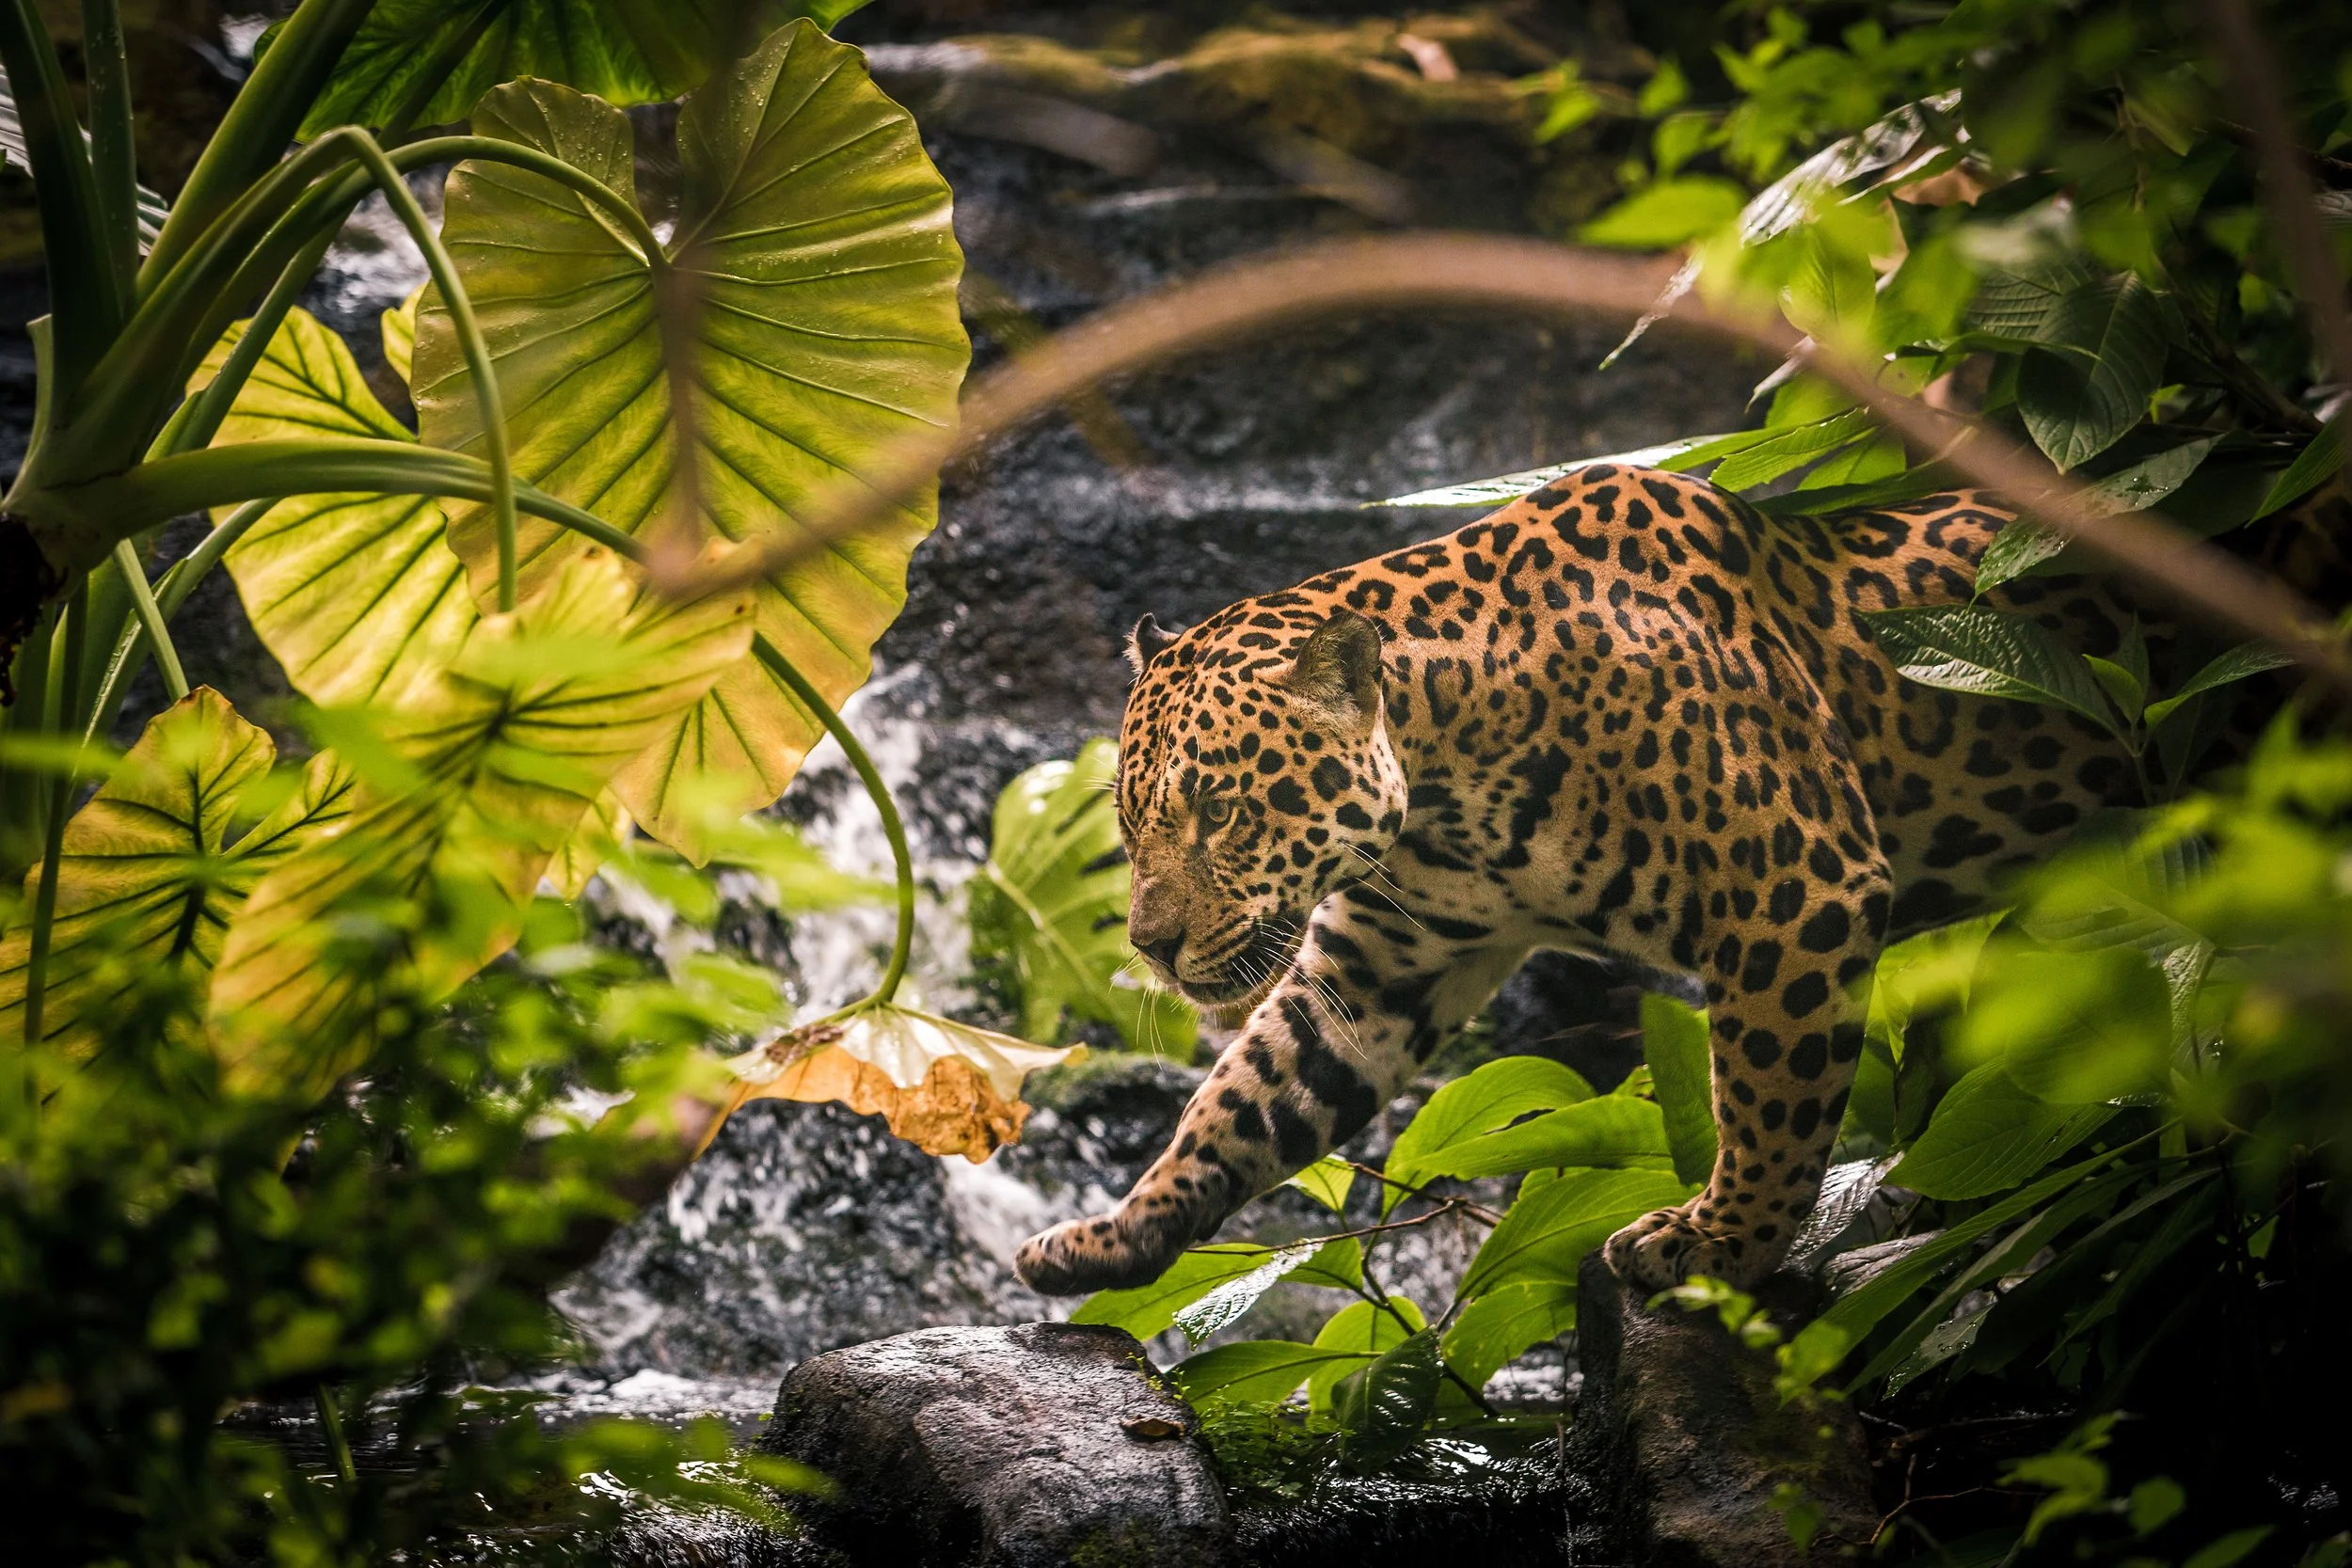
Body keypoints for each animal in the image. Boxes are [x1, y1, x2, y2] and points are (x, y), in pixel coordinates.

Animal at [1011, 463, 2150, 1298]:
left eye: (1220, 811)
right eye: (1128, 824)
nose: (1151, 946)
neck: (1447, 779)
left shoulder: (1795, 890)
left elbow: (1769, 1094)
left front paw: (1720, 1243)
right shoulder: (1379, 970)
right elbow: (1242, 1104)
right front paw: (1113, 1234)